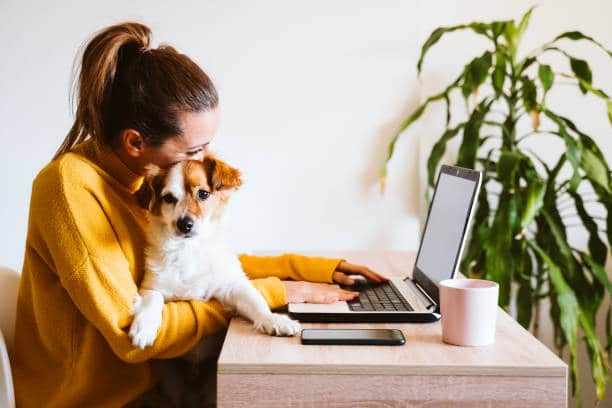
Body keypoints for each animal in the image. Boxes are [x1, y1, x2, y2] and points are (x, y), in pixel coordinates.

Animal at [130, 154, 302, 350]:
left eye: (203, 194)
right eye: (168, 198)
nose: (184, 224)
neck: (190, 248)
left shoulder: (233, 285)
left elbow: (255, 300)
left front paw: (273, 319)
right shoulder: (151, 286)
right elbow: (151, 301)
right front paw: (143, 328)